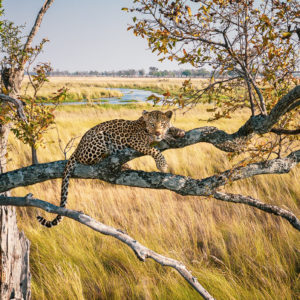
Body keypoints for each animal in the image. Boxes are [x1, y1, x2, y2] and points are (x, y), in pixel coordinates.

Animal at [37, 110, 185, 227]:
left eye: (162, 124)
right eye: (152, 124)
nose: (158, 133)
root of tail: (77, 148)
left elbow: (172, 128)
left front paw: (178, 131)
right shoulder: (136, 141)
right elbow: (154, 149)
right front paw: (162, 164)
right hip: (99, 137)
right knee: (90, 160)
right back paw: (116, 160)